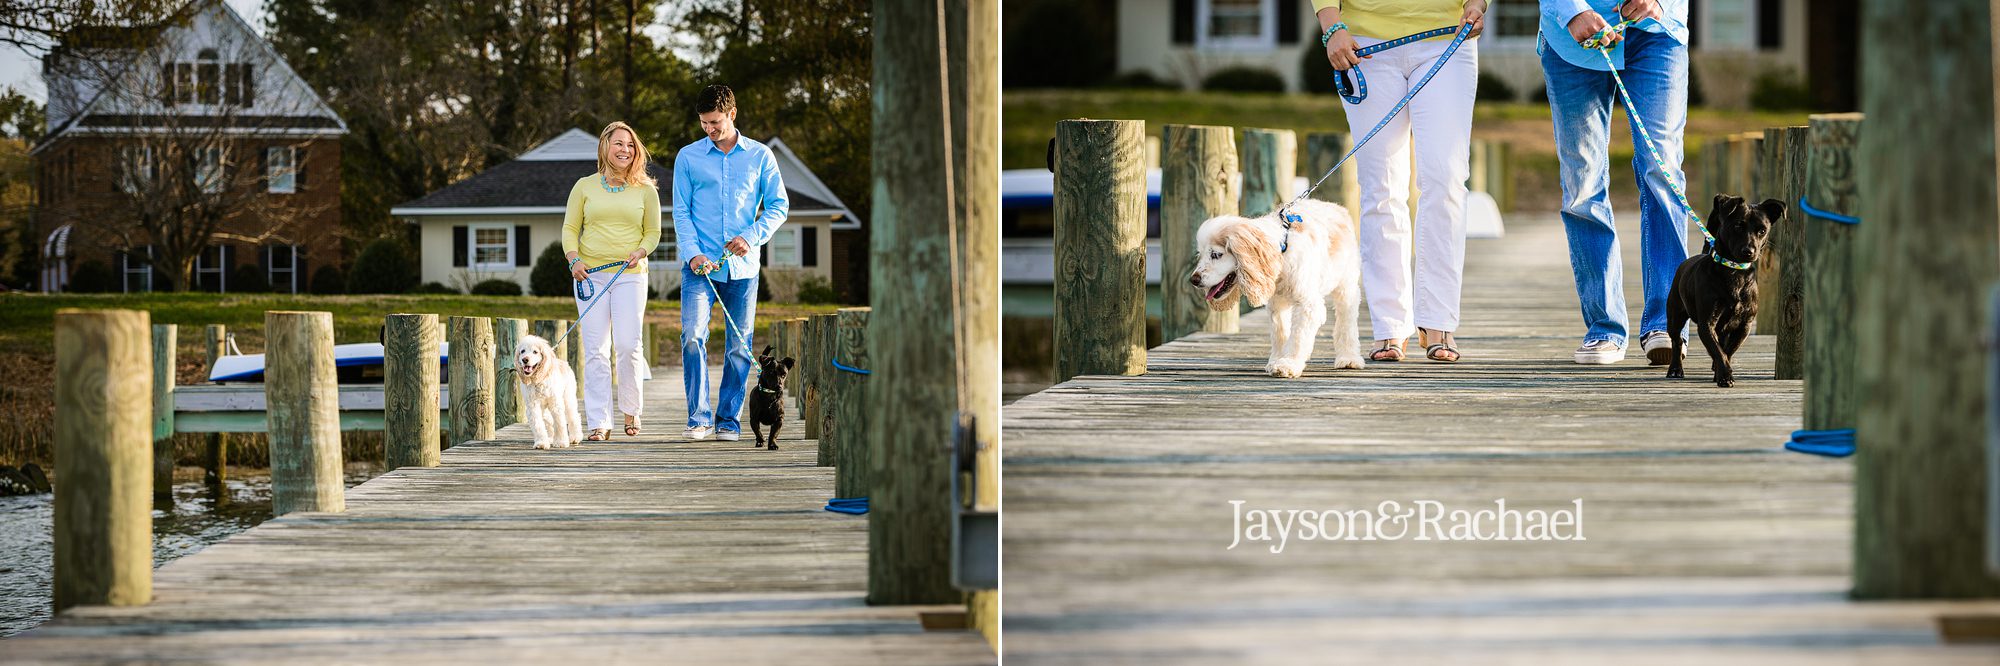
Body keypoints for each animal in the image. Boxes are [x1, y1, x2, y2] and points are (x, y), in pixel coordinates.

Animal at [1192, 197, 1368, 376]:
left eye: (1216, 255)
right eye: (1200, 254)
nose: (1193, 279)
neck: (1281, 252)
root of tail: (1336, 207)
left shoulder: (1307, 304)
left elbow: (1297, 336)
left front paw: (1288, 364)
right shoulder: (1277, 303)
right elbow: (1280, 332)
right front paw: (1276, 360)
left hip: (1346, 286)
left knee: (1346, 321)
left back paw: (1349, 358)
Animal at [1664, 195, 1792, 386]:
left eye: (1762, 230)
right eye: (1738, 226)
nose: (1749, 251)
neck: (1734, 272)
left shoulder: (1744, 325)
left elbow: (1727, 350)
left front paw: (1720, 371)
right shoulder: (1707, 323)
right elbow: (1718, 350)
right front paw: (1724, 376)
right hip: (1675, 315)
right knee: (1677, 340)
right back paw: (1675, 369)